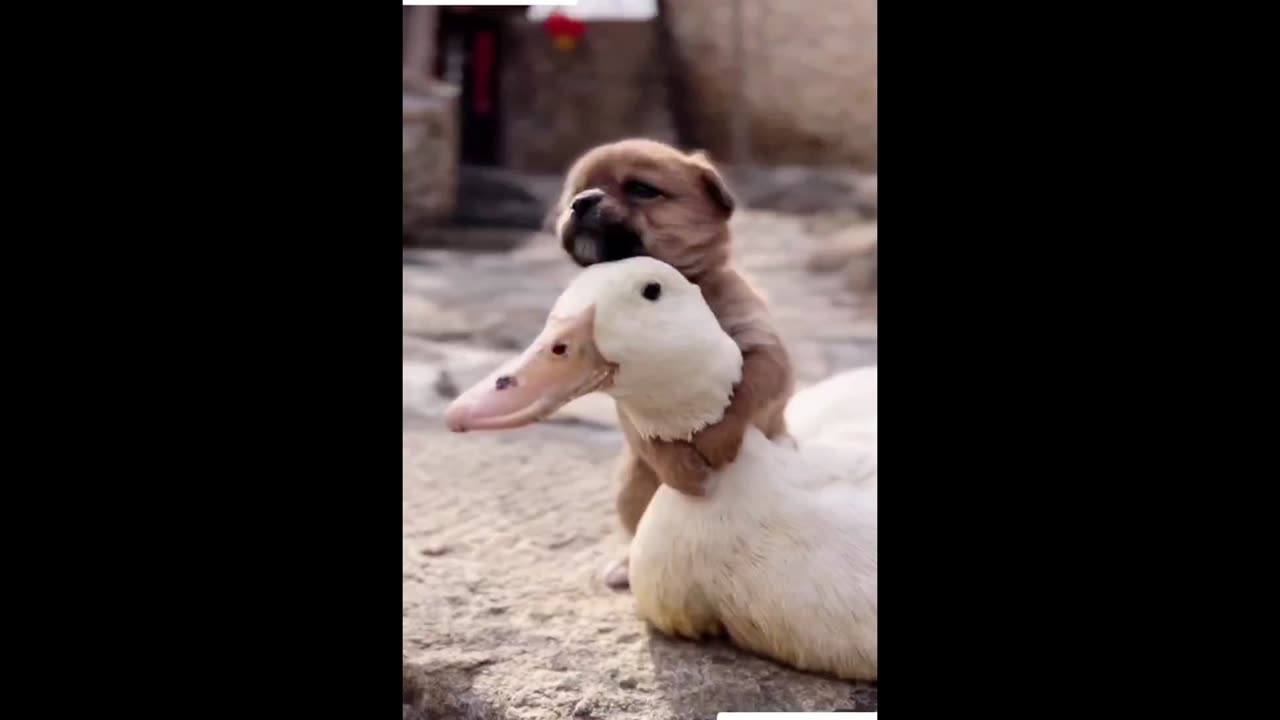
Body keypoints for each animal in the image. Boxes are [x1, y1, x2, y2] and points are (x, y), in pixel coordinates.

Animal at [555, 137, 793, 586]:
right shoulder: (627, 395)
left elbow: (745, 390)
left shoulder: (764, 352)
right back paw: (625, 564)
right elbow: (652, 434)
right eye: (574, 192)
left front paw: (717, 439)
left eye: (641, 189)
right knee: (636, 527)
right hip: (630, 484)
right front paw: (681, 466)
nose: (581, 202)